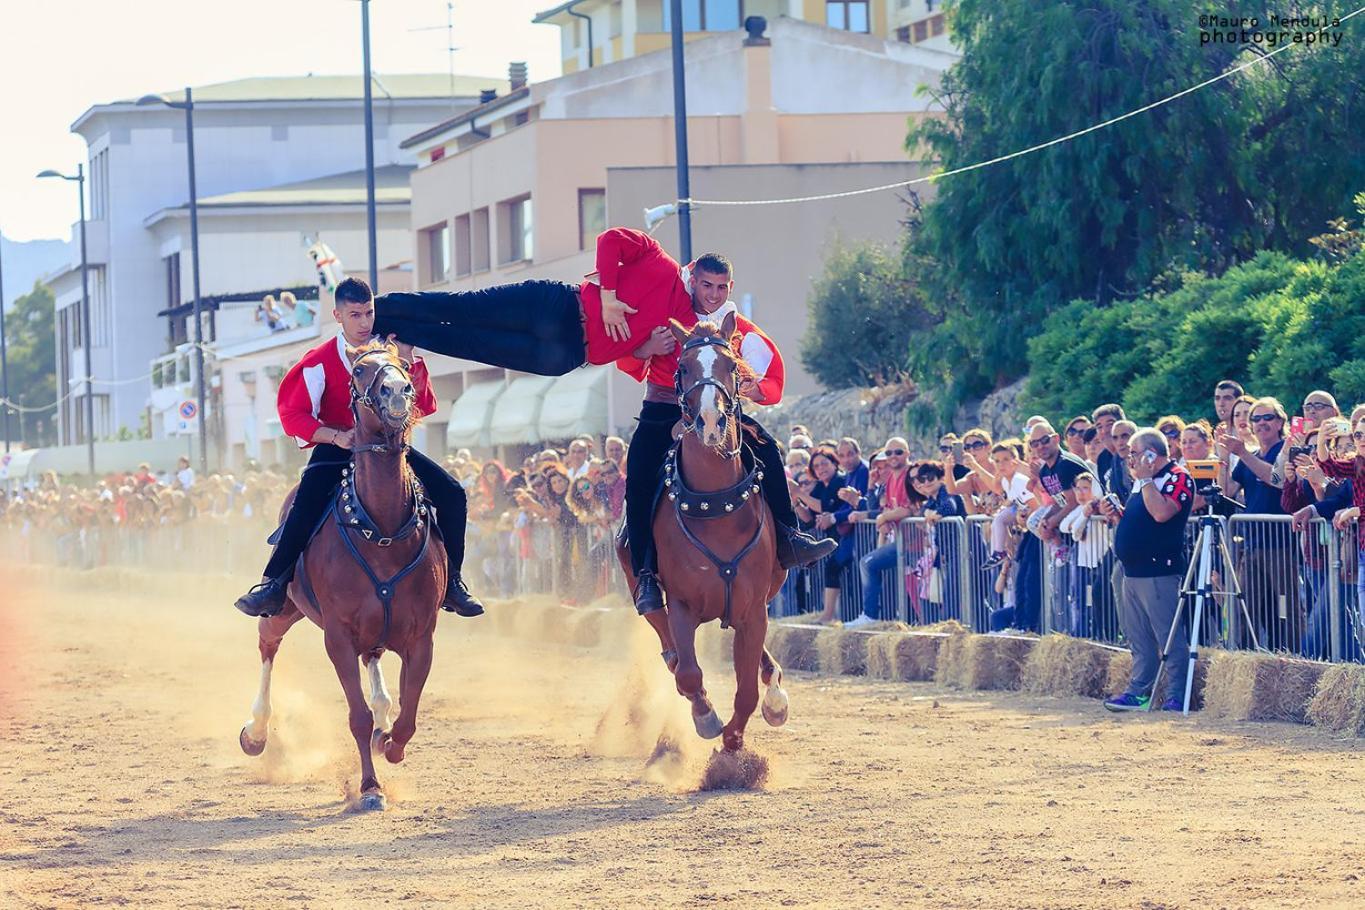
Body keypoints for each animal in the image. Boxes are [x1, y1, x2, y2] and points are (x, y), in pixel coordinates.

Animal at [237, 341, 444, 813]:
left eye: (405, 366)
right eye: (360, 371)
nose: (398, 392)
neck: (382, 529)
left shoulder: (421, 637)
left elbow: (408, 714)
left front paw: (390, 743)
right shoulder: (338, 637)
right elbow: (357, 715)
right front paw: (369, 788)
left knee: (377, 667)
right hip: (286, 607)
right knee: (267, 642)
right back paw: (256, 732)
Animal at [619, 315, 791, 753]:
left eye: (732, 366)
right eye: (682, 367)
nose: (712, 422)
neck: (717, 508)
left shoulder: (753, 608)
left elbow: (747, 691)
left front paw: (734, 742)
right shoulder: (682, 605)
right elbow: (690, 674)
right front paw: (707, 718)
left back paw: (776, 695)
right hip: (641, 585)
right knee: (666, 640)